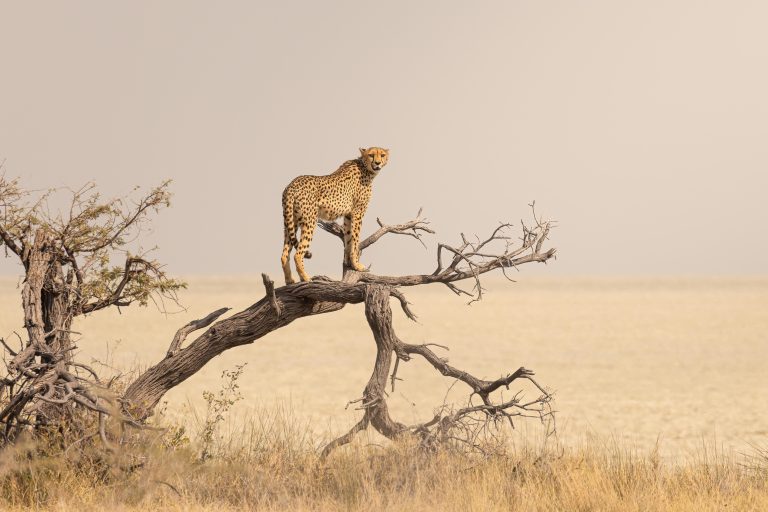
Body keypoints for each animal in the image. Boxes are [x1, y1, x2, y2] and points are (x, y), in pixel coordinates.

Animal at [280, 147, 389, 284]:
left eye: (382, 155)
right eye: (371, 155)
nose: (378, 163)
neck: (365, 168)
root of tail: (292, 184)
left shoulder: (348, 215)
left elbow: (348, 239)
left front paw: (349, 262)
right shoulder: (358, 213)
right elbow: (355, 240)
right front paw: (357, 265)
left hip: (291, 222)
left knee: (284, 254)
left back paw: (289, 280)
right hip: (309, 221)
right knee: (298, 254)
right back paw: (305, 278)